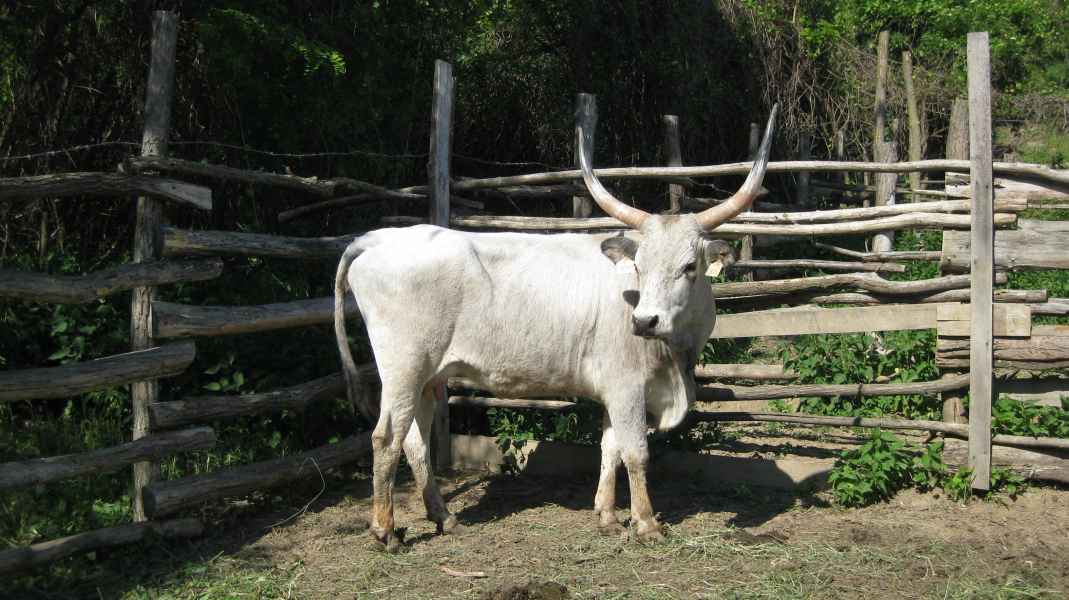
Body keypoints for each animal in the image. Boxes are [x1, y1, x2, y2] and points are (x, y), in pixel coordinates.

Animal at [334, 106, 777, 552]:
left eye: (688, 267)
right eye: (639, 265)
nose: (644, 321)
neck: (676, 358)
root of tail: (375, 239)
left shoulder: (613, 389)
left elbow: (609, 448)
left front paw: (606, 516)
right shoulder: (626, 386)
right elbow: (635, 452)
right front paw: (646, 523)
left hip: (428, 375)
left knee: (415, 440)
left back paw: (444, 517)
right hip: (403, 367)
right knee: (386, 438)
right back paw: (385, 530)